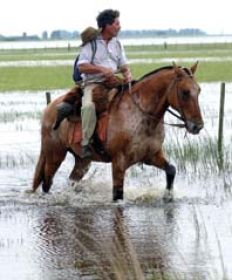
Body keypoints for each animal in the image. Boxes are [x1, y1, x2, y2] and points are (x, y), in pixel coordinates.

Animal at [32, 62, 203, 200]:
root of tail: (50, 107)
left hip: (82, 160)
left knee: (71, 180)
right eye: (185, 92)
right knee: (46, 182)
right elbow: (118, 194)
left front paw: (167, 196)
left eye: (199, 90)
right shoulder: (119, 163)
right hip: (55, 154)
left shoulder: (152, 155)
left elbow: (171, 170)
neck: (141, 114)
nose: (198, 126)